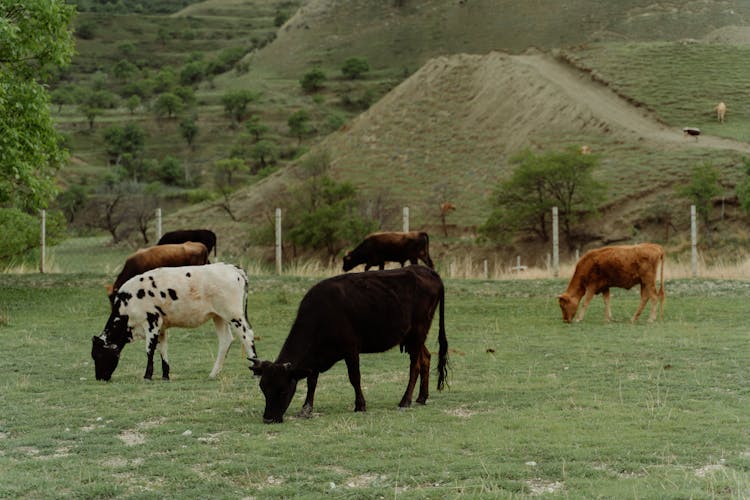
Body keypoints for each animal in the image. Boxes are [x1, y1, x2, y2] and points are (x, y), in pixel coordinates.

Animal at [91, 264, 258, 380]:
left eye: (98, 355)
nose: (99, 378)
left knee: (247, 336)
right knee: (225, 341)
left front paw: (147, 376)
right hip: (219, 316)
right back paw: (213, 373)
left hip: (234, 315)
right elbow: (162, 349)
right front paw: (165, 375)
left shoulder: (151, 322)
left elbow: (149, 350)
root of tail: (231, 268)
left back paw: (255, 370)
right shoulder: (161, 327)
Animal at [250, 266, 450, 422]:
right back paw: (422, 397)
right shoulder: (314, 358)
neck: (321, 315)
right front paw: (306, 408)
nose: (268, 419)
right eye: (263, 389)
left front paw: (360, 405)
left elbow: (354, 377)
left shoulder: (351, 350)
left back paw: (405, 401)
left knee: (414, 366)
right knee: (426, 358)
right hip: (413, 337)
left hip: (418, 332)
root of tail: (428, 271)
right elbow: (312, 381)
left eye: (283, 390)